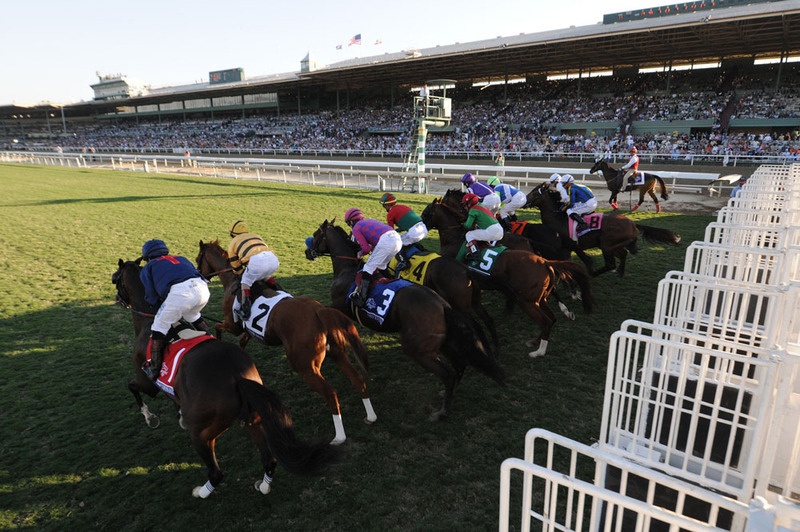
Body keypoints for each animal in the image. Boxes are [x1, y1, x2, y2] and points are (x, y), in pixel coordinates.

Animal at [110, 258, 340, 498]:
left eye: (116, 278)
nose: (117, 299)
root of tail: (236, 376)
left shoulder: (149, 383)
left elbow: (133, 387)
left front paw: (150, 417)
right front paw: (176, 413)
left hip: (203, 433)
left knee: (216, 472)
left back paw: (201, 492)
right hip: (254, 417)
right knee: (269, 460)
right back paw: (264, 484)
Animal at [197, 241, 378, 444]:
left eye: (198, 258)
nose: (200, 274)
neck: (232, 282)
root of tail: (320, 311)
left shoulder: (232, 324)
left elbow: (219, 327)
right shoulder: (250, 329)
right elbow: (244, 340)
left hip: (305, 367)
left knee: (330, 393)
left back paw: (339, 437)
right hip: (337, 353)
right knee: (357, 378)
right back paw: (370, 416)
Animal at [304, 219, 504, 420]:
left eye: (315, 235)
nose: (307, 252)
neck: (347, 270)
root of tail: (442, 305)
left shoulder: (337, 307)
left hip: (418, 347)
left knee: (449, 372)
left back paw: (441, 412)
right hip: (447, 337)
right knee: (462, 361)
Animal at [418, 198, 592, 358]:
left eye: (426, 213)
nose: (419, 229)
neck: (454, 238)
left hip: (526, 299)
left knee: (546, 318)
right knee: (549, 310)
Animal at [524, 183, 680, 276]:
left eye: (534, 193)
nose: (524, 201)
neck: (557, 219)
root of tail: (633, 223)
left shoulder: (572, 245)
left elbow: (584, 259)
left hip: (606, 245)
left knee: (610, 264)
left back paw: (597, 273)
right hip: (613, 245)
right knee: (623, 254)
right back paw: (620, 272)